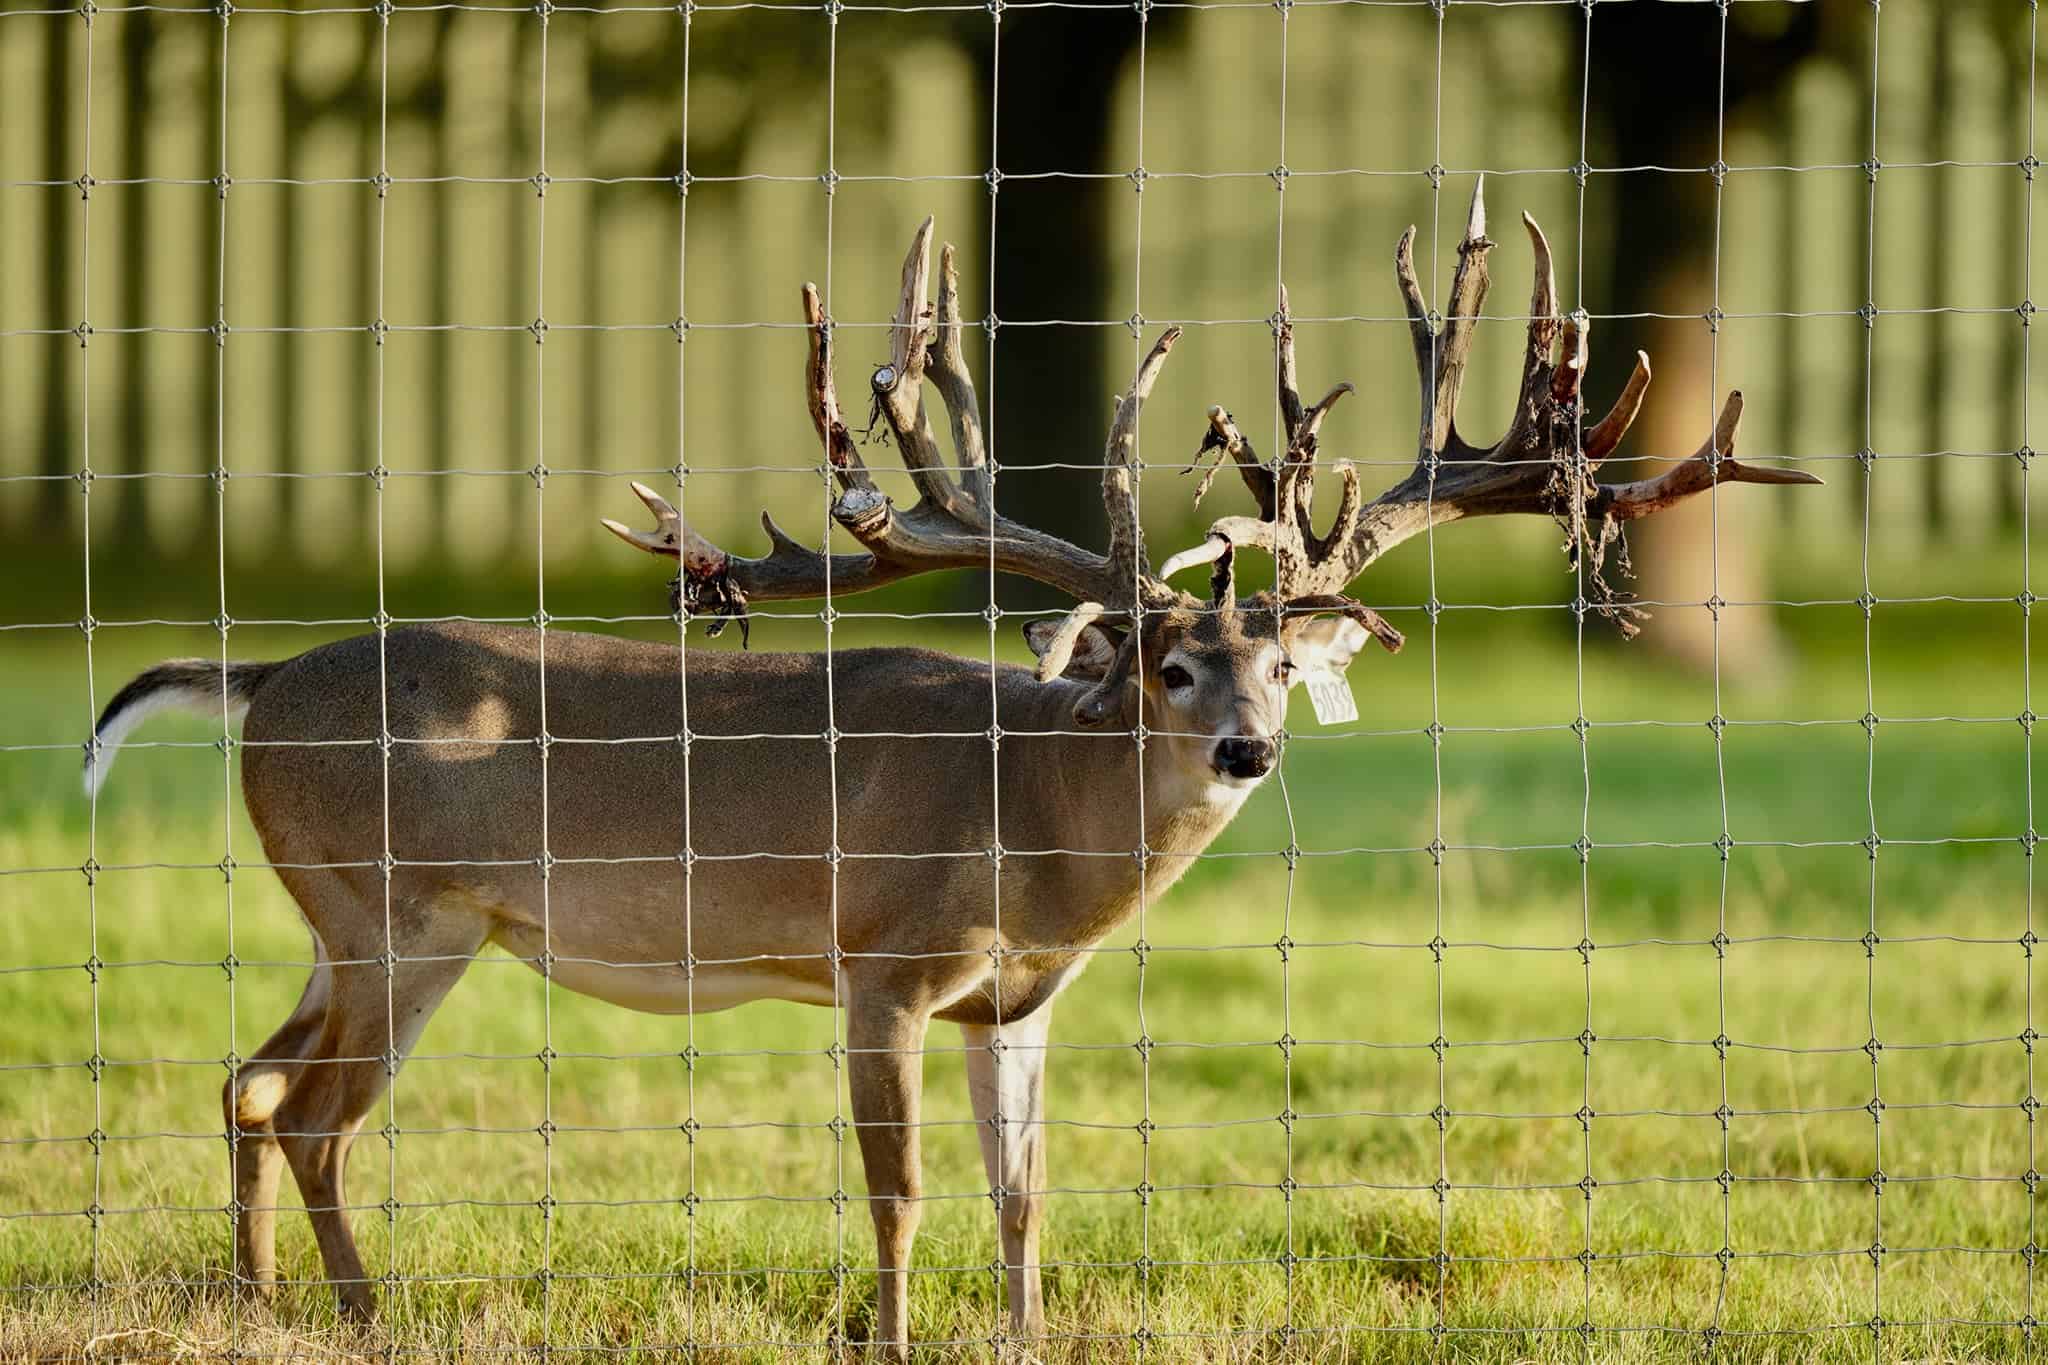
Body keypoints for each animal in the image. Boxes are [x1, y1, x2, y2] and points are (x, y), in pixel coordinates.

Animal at [84, 190, 1815, 1357]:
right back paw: (362, 1312)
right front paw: (898, 1337)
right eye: (1168, 666)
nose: (1250, 746)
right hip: (406, 913)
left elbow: (1024, 1187)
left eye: (1280, 666)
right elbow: (899, 1184)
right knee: (315, 1113)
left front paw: (1027, 1334)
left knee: (249, 1081)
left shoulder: (1019, 994)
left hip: (347, 920)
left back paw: (257, 1302)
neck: (1029, 818)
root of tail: (258, 687)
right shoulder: (882, 959)